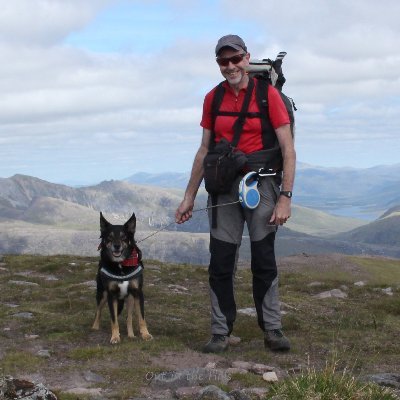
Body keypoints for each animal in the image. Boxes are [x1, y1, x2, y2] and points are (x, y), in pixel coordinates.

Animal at [91, 212, 152, 344]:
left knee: (129, 318)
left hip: (130, 299)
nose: (117, 246)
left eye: (124, 237)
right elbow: (114, 320)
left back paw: (131, 335)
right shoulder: (111, 295)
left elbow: (141, 318)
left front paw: (145, 334)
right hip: (102, 294)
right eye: (109, 236)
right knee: (98, 311)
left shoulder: (138, 293)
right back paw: (95, 327)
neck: (121, 265)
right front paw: (115, 337)